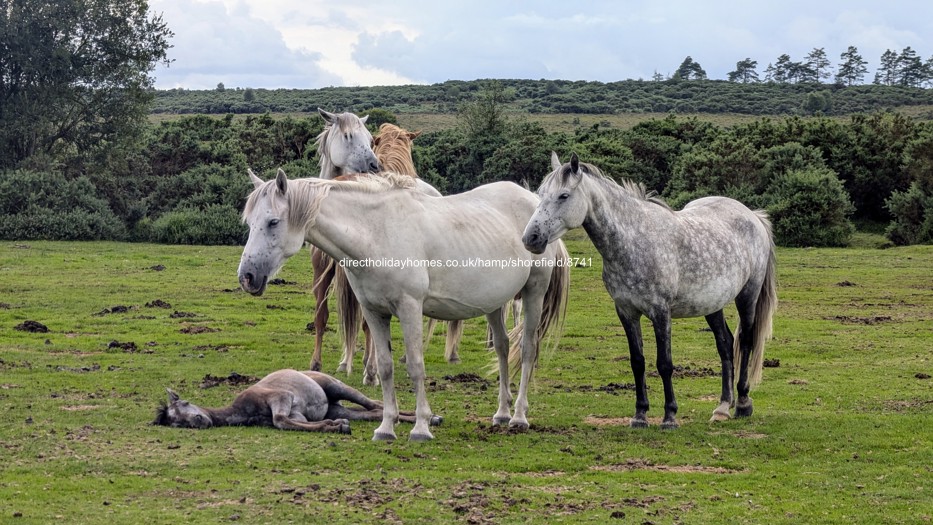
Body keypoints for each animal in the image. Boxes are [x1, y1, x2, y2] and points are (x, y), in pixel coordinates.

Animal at [238, 172, 568, 442]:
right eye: (250, 223)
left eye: (273, 222)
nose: (247, 277)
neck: (376, 234)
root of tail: (533, 201)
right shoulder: (373, 312)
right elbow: (385, 368)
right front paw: (386, 428)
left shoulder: (410, 309)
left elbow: (415, 366)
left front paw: (421, 428)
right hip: (495, 303)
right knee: (502, 348)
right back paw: (501, 414)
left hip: (534, 293)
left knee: (527, 349)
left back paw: (519, 417)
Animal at [520, 152, 776, 430]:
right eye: (541, 193)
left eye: (563, 195)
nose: (531, 238)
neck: (633, 242)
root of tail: (752, 215)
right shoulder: (626, 312)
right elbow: (638, 362)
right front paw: (640, 415)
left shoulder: (660, 312)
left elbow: (664, 363)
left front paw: (670, 416)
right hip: (712, 303)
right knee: (726, 344)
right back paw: (722, 407)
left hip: (748, 296)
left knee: (746, 342)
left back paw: (742, 403)